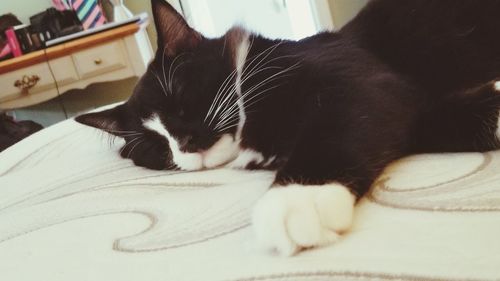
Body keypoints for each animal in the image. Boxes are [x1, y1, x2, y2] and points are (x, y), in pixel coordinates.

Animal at [76, 0, 500, 255]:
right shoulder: (409, 109)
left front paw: (296, 200)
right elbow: (433, 119)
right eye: (154, 146)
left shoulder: (359, 80)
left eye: (179, 97)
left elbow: (334, 125)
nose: (185, 143)